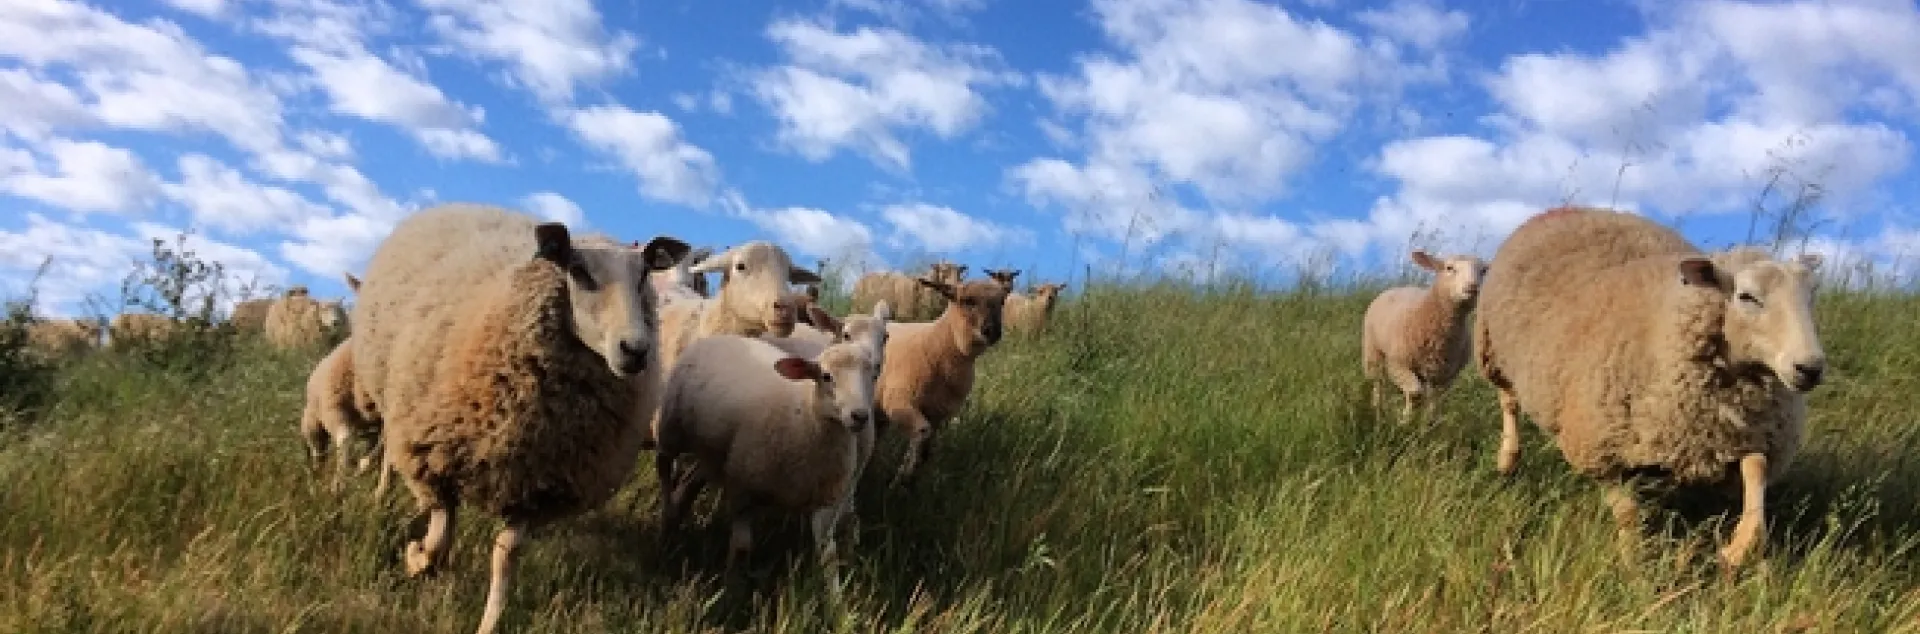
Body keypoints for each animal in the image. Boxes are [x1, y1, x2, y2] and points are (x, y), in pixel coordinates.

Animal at [349, 202, 689, 634]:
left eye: (644, 274)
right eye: (578, 270)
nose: (636, 350)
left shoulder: (537, 484)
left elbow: (504, 555)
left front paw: (489, 621)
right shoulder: (434, 458)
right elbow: (439, 537)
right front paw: (417, 559)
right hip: (392, 397)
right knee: (390, 457)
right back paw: (380, 495)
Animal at [652, 308, 888, 602]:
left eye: (871, 375)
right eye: (826, 376)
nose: (859, 416)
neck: (804, 415)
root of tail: (723, 337)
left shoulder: (828, 500)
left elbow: (829, 554)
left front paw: (837, 603)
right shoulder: (743, 491)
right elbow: (742, 548)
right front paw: (732, 594)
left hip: (715, 454)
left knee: (690, 479)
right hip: (671, 428)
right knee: (663, 465)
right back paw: (667, 520)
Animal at [874, 277, 1009, 486]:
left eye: (1002, 302)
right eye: (968, 300)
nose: (992, 331)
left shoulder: (937, 414)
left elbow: (925, 451)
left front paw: (908, 479)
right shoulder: (899, 401)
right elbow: (922, 434)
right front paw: (902, 477)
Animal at [1359, 250, 1487, 425]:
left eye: (1484, 270)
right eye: (1449, 268)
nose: (1472, 287)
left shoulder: (1446, 376)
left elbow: (1435, 402)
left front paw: (1428, 423)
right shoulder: (1397, 363)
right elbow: (1415, 393)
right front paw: (1404, 419)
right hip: (1372, 350)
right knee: (1378, 382)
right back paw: (1377, 409)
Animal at [1473, 205, 1827, 570]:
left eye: (1810, 298)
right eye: (1746, 296)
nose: (1811, 368)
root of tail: (1562, 210)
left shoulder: (1746, 434)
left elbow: (1756, 470)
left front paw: (1738, 548)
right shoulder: (1599, 447)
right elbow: (1628, 514)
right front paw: (1633, 566)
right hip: (1493, 351)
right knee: (1509, 402)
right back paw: (1507, 459)